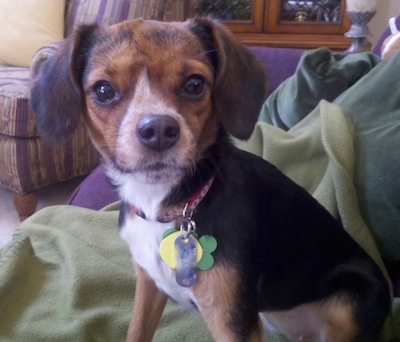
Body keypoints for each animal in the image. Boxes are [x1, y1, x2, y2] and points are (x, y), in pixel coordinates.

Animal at [32, 16, 390, 342]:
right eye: (104, 90)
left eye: (194, 84)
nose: (158, 130)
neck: (169, 205)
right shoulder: (148, 285)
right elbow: (136, 332)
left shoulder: (231, 321)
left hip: (350, 303)